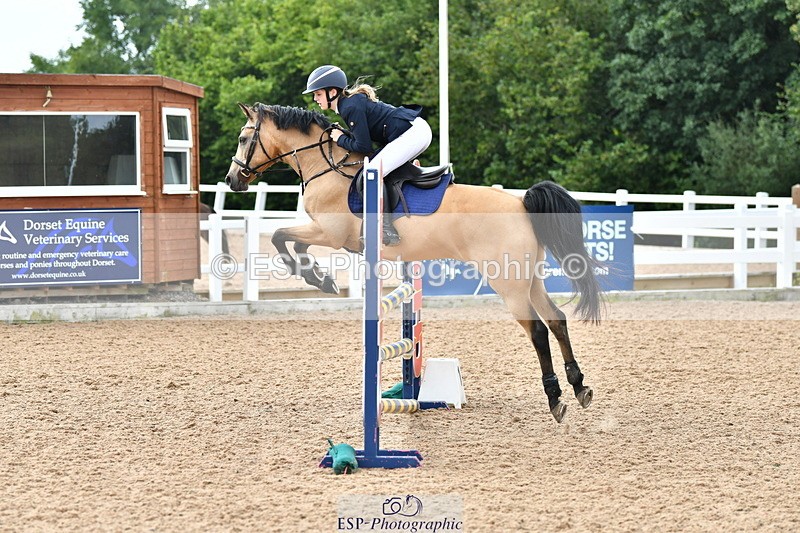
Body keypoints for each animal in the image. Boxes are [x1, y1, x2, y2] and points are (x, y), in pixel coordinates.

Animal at [225, 102, 604, 423]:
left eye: (243, 138)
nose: (232, 180)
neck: (326, 167)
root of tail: (521, 203)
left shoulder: (331, 234)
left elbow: (280, 237)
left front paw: (319, 279)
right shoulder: (328, 235)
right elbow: (288, 240)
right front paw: (320, 277)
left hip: (508, 284)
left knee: (538, 330)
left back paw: (555, 398)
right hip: (529, 277)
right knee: (557, 319)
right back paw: (579, 386)